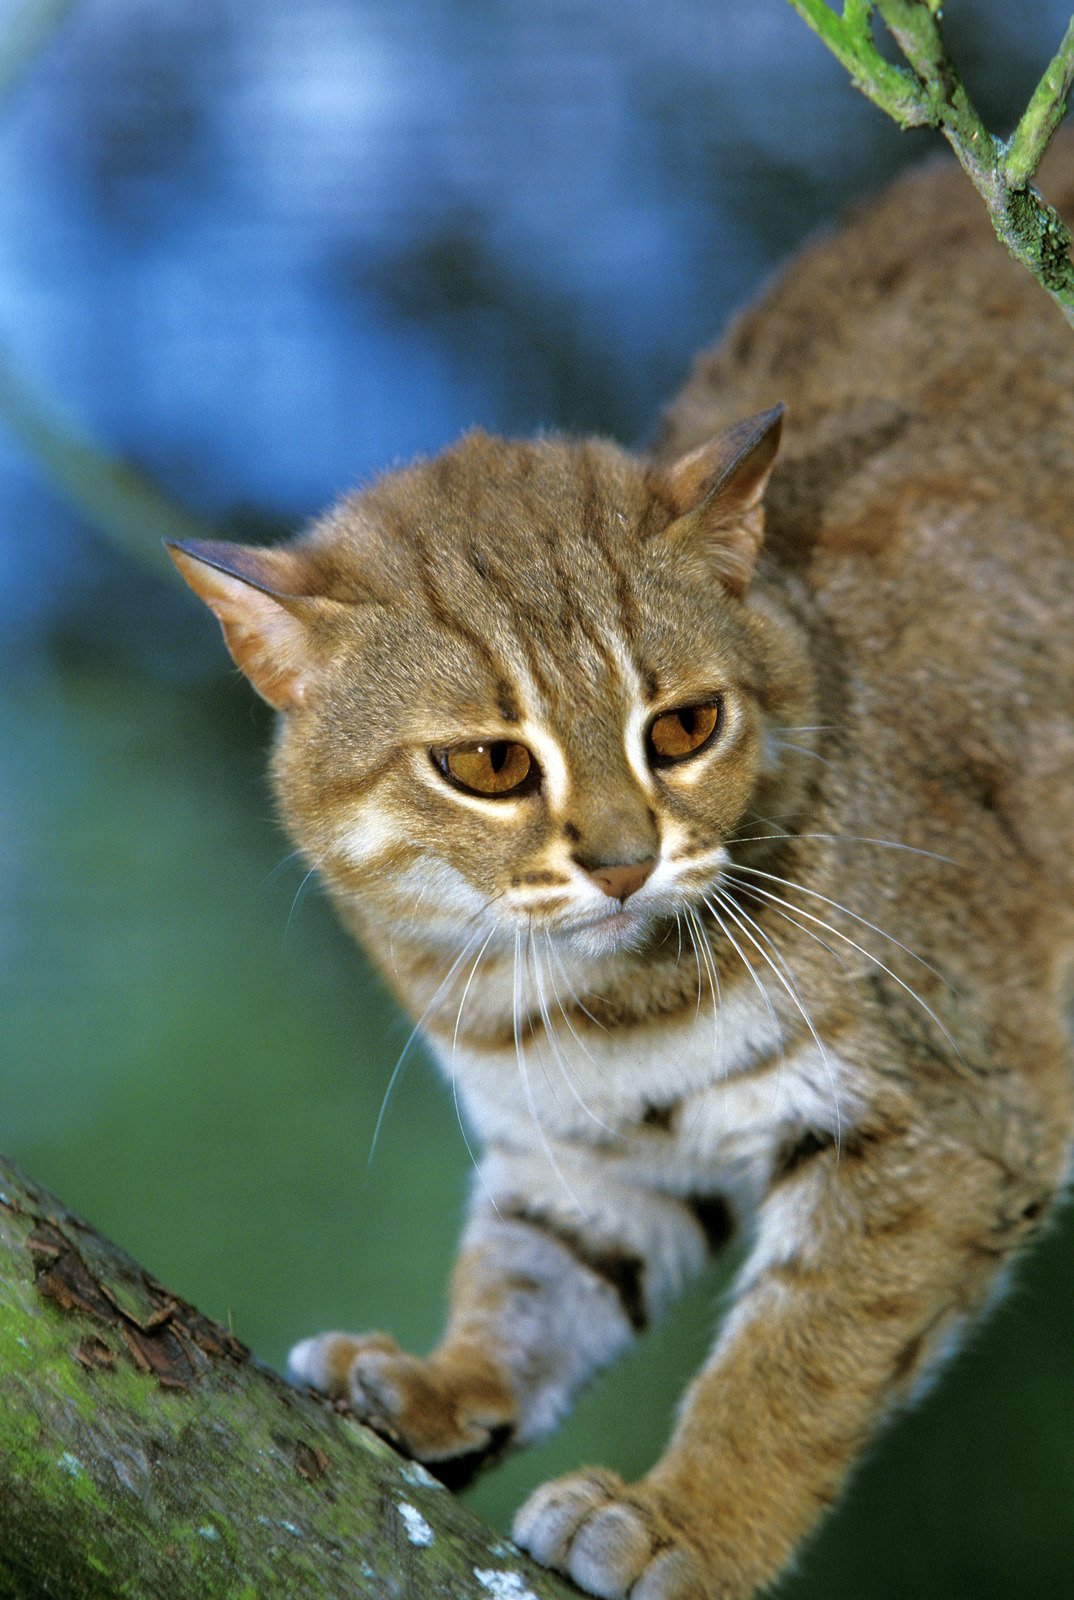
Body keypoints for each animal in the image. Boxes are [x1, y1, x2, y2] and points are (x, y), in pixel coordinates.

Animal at [170, 137, 1074, 1600]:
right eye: (489, 764)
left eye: (684, 728)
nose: (623, 860)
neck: (584, 1001)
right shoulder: (587, 1151)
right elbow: (533, 1273)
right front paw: (449, 1378)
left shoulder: (952, 1116)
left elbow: (799, 1361)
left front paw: (687, 1521)